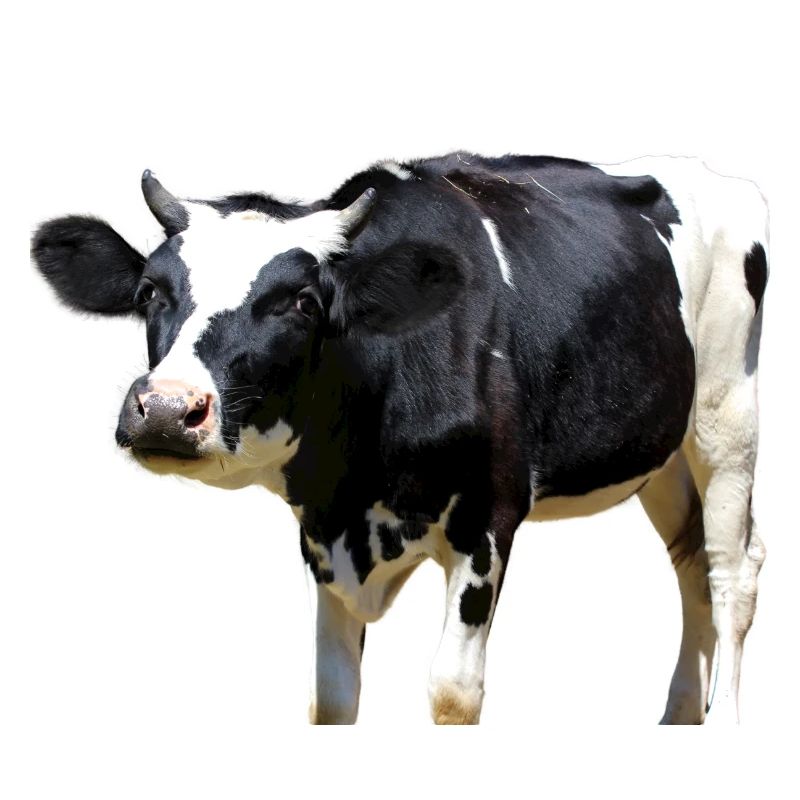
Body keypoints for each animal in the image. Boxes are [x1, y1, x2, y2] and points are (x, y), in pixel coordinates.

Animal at [31, 152, 768, 725]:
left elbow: (452, 692)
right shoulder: (321, 533)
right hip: (662, 453)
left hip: (727, 417)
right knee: (691, 563)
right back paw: (679, 715)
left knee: (732, 570)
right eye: (149, 291)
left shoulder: (488, 517)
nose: (165, 408)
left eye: (302, 302)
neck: (356, 481)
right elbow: (331, 695)